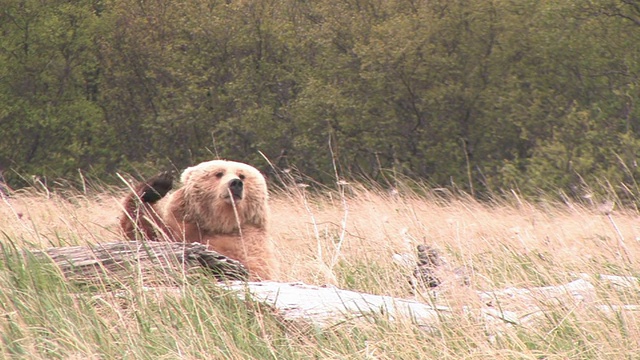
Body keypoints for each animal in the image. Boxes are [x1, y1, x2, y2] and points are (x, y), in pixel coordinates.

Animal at [120, 160, 278, 282]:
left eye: (242, 175)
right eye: (219, 173)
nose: (235, 183)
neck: (222, 222)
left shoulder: (249, 243)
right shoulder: (178, 229)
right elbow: (144, 234)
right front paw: (157, 184)